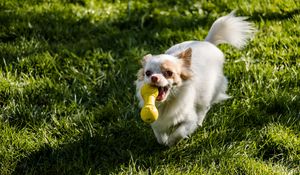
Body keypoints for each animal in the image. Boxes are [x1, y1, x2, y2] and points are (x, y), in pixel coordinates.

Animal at [135, 11, 254, 146]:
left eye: (169, 73)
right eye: (148, 73)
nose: (154, 77)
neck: (167, 103)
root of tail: (207, 42)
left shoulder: (189, 119)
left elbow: (179, 132)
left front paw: (171, 142)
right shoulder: (157, 122)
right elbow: (159, 135)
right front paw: (164, 141)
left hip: (208, 94)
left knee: (204, 109)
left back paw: (200, 122)